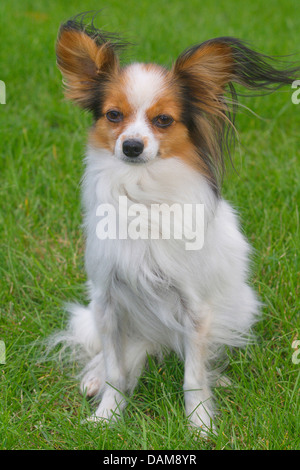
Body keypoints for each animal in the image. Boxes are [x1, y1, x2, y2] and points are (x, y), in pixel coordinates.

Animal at [54, 11, 300, 436]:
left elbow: (193, 377)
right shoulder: (107, 300)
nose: (131, 146)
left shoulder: (194, 307)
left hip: (239, 307)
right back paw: (96, 376)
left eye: (163, 120)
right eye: (113, 115)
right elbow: (117, 371)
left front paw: (200, 423)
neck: (141, 193)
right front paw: (108, 415)